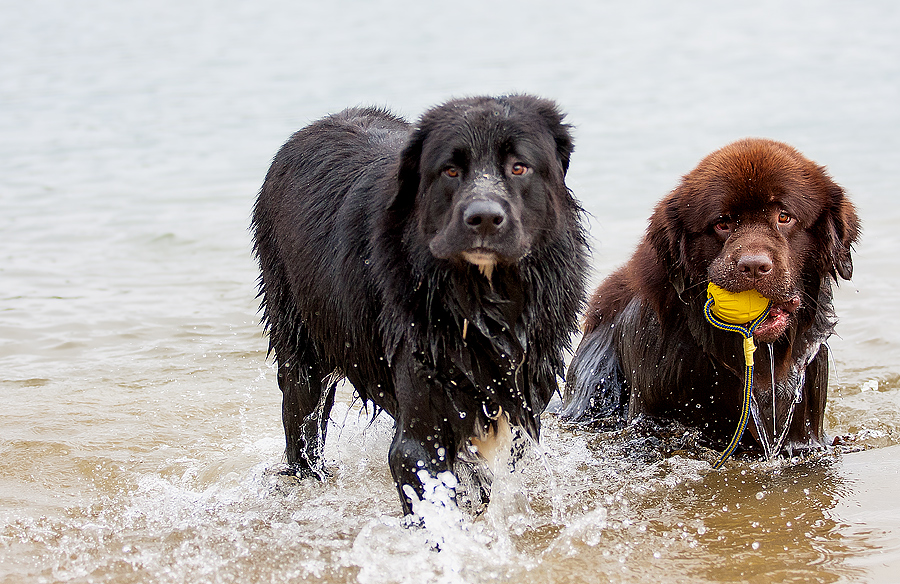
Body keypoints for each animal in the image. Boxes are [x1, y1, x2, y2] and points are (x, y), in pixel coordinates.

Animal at [251, 93, 592, 512]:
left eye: (518, 167)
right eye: (450, 170)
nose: (483, 218)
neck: (482, 301)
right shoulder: (421, 422)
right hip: (301, 340)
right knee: (302, 416)